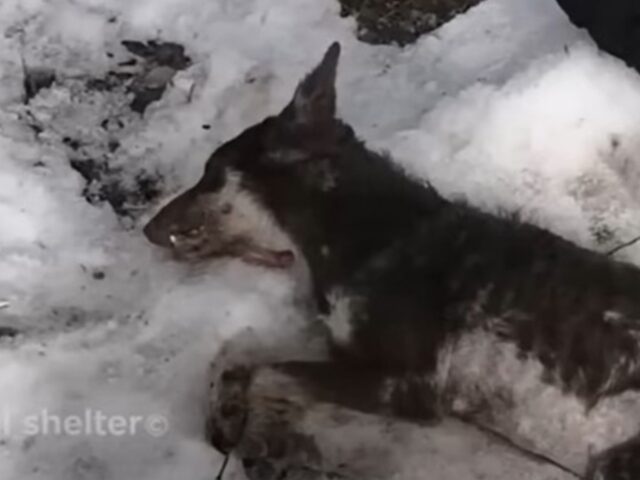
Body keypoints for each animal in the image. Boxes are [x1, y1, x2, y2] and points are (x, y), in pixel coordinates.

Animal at [144, 43, 640, 478]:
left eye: (210, 174)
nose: (147, 230)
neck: (364, 230)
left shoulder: (407, 385)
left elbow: (268, 373)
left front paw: (267, 432)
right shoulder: (344, 348)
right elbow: (237, 350)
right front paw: (225, 410)